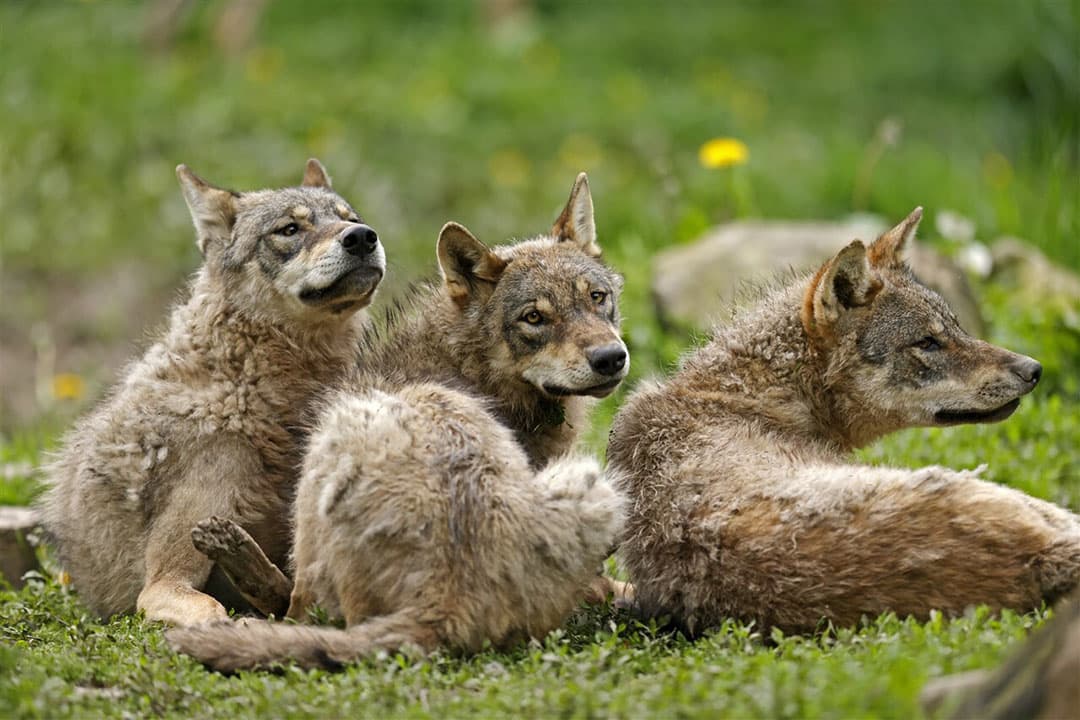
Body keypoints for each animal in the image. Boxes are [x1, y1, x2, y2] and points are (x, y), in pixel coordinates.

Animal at [167, 174, 628, 671]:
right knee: (299, 609)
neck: (469, 368)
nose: (610, 358)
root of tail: (446, 599)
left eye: (597, 298)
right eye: (534, 318)